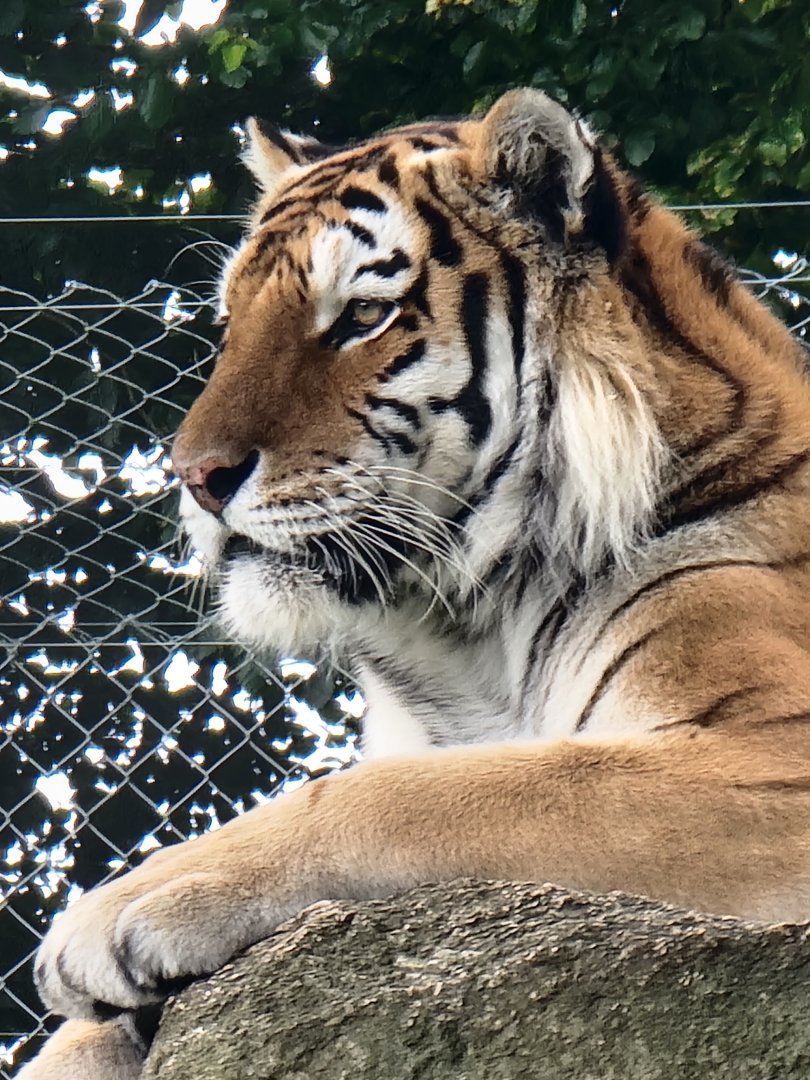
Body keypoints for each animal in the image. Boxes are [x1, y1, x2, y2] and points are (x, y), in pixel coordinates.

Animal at [21, 88, 810, 1079]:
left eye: (362, 316)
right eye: (231, 326)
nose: (195, 477)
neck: (467, 636)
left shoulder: (770, 750)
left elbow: (425, 792)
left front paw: (130, 900)